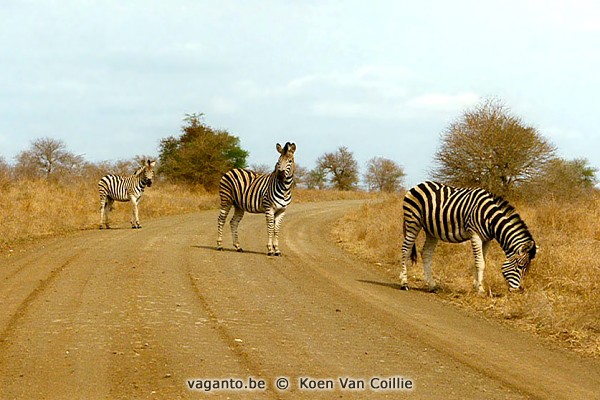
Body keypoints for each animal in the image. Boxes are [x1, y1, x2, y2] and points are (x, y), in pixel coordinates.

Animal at [400, 181, 536, 294]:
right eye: (520, 266)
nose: (517, 291)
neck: (491, 218)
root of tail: (419, 184)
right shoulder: (475, 234)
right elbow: (480, 263)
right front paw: (480, 289)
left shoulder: (487, 239)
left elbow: (481, 261)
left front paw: (476, 286)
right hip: (413, 223)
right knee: (406, 250)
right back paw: (404, 283)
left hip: (431, 231)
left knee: (426, 253)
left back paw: (432, 286)